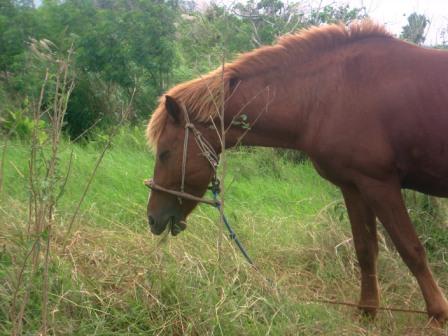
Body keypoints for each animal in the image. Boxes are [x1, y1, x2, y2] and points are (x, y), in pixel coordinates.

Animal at [145, 21, 448, 326]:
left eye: (164, 153)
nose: (152, 218)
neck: (330, 92)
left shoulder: (379, 184)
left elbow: (412, 250)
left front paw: (438, 312)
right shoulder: (353, 186)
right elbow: (365, 249)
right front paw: (367, 310)